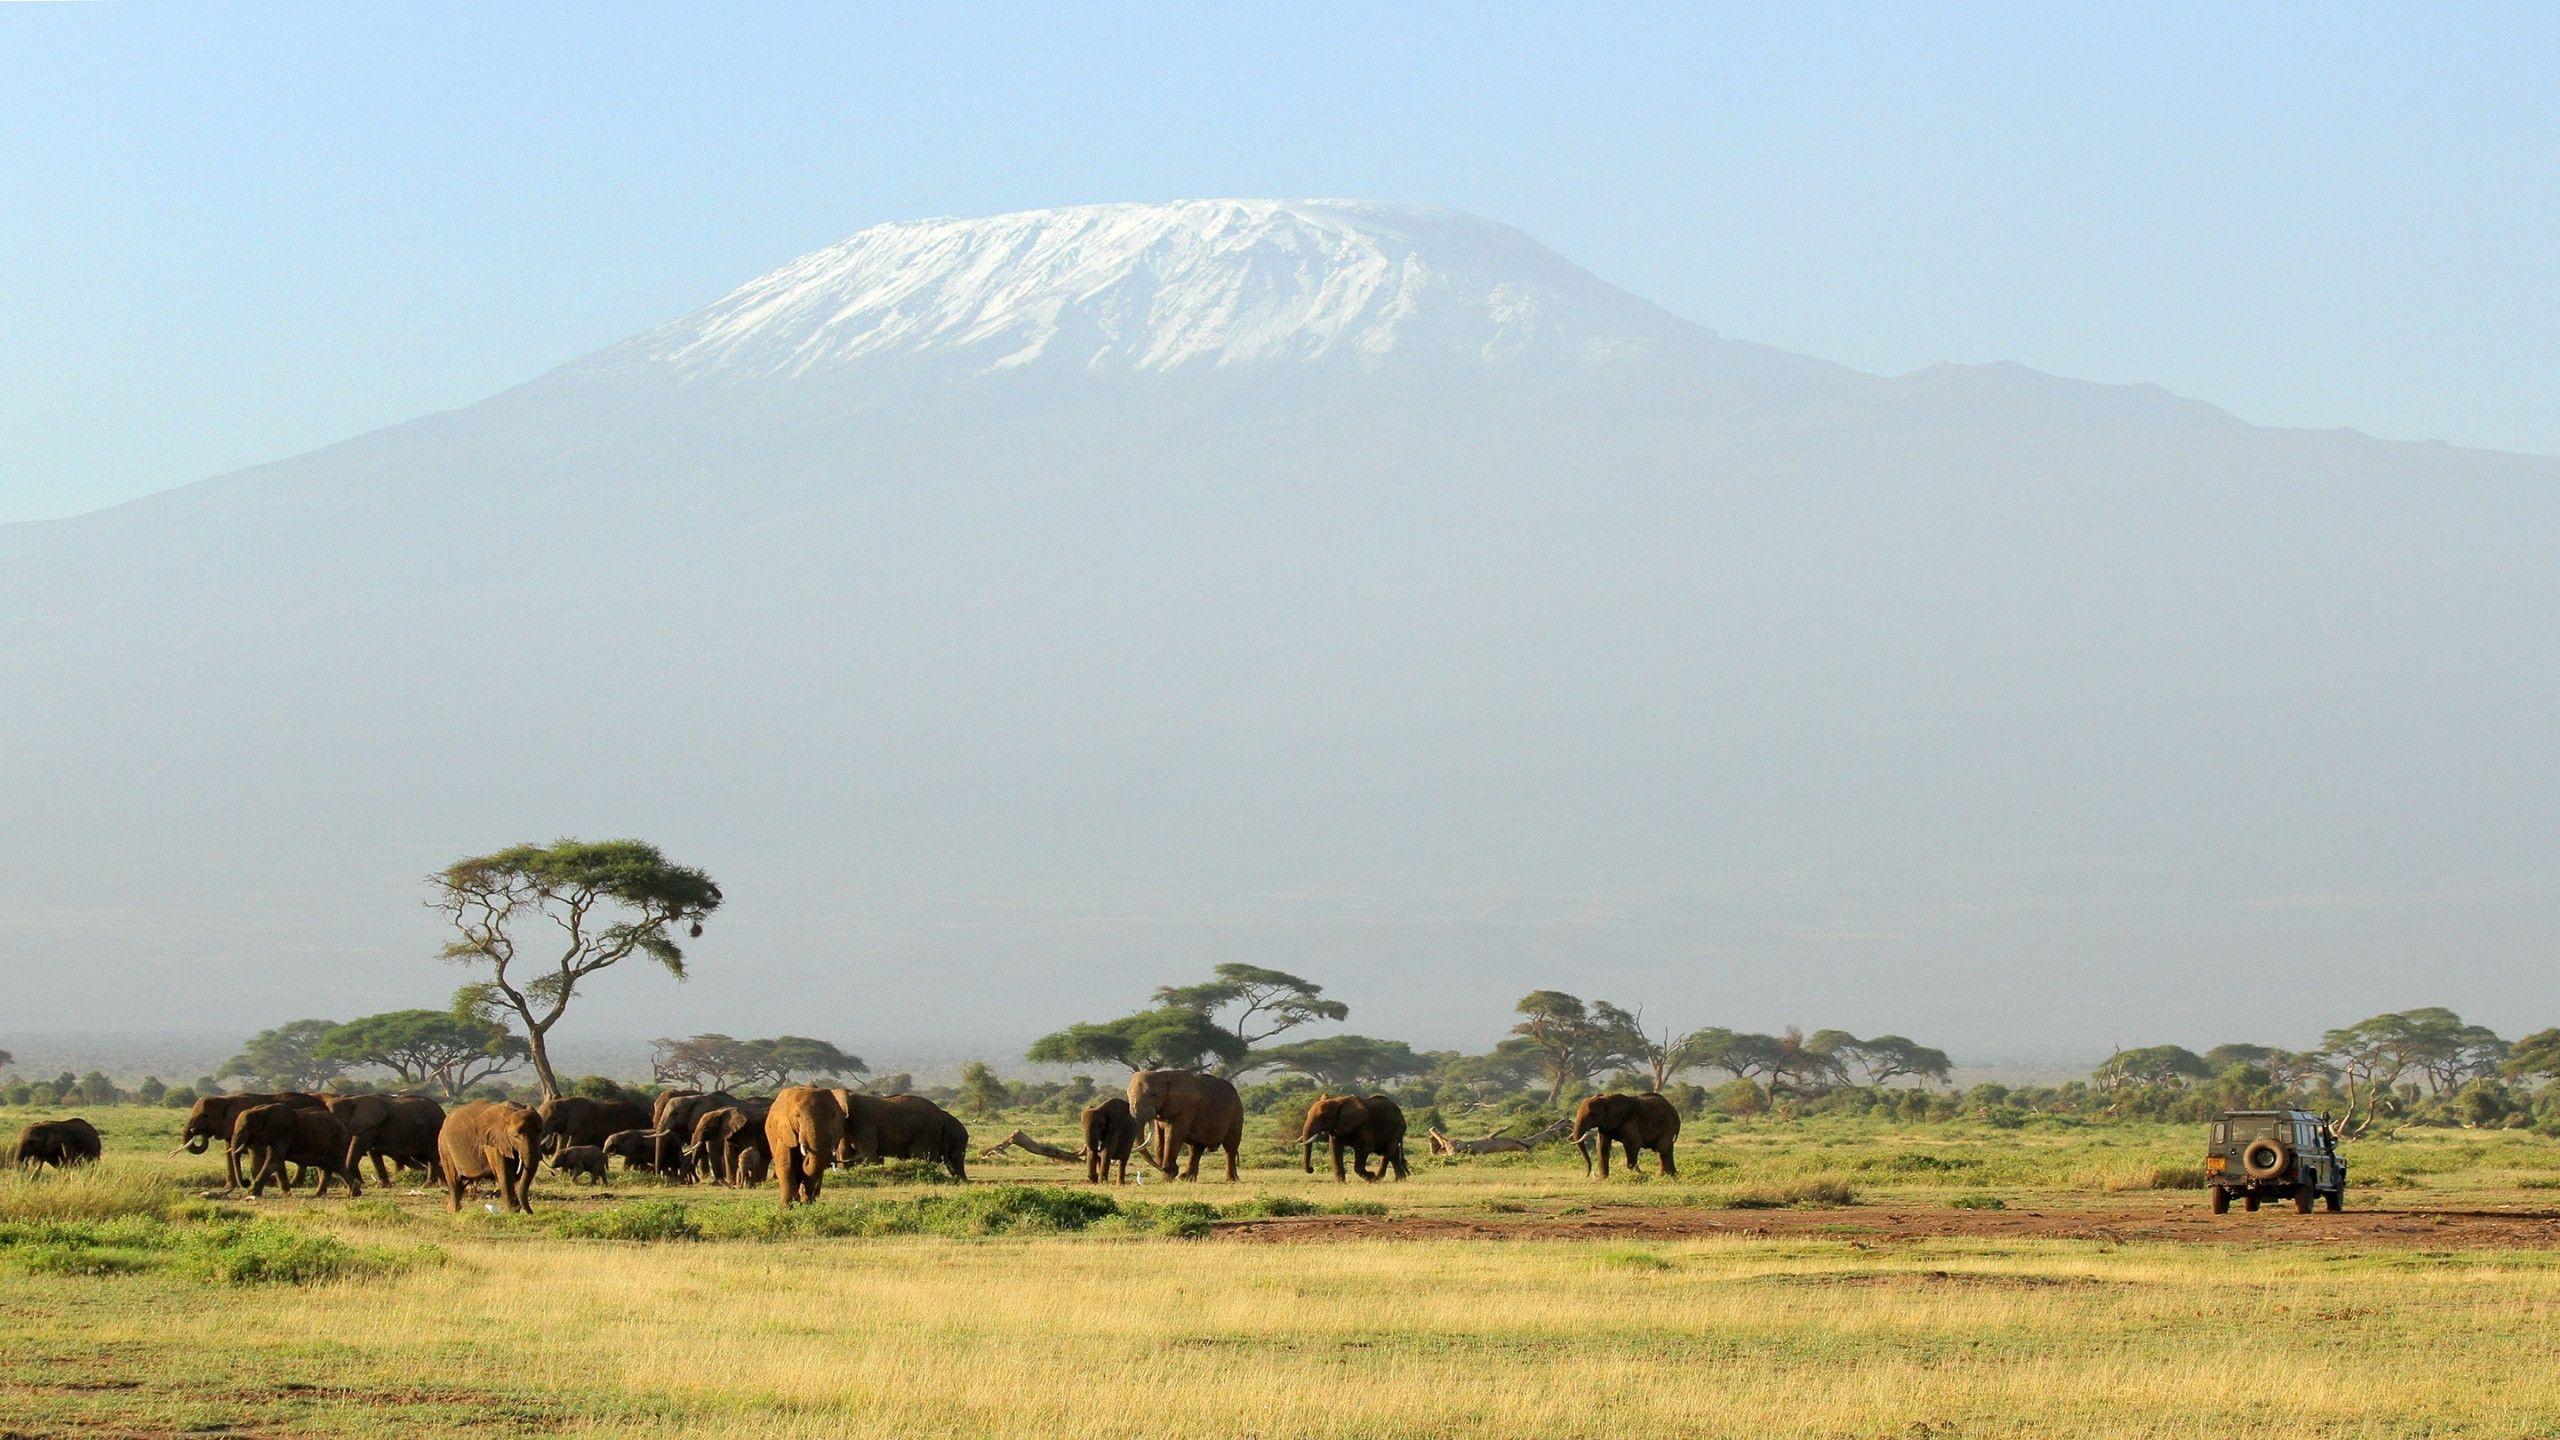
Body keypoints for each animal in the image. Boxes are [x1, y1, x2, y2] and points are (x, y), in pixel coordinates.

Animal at [226, 1101, 360, 1194]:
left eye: (244, 1129)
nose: (246, 1181)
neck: (262, 1110)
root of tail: (343, 1126)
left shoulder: (283, 1133)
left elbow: (274, 1160)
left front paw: (252, 1193)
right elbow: (278, 1162)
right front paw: (287, 1193)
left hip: (337, 1142)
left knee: (334, 1165)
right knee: (333, 1166)